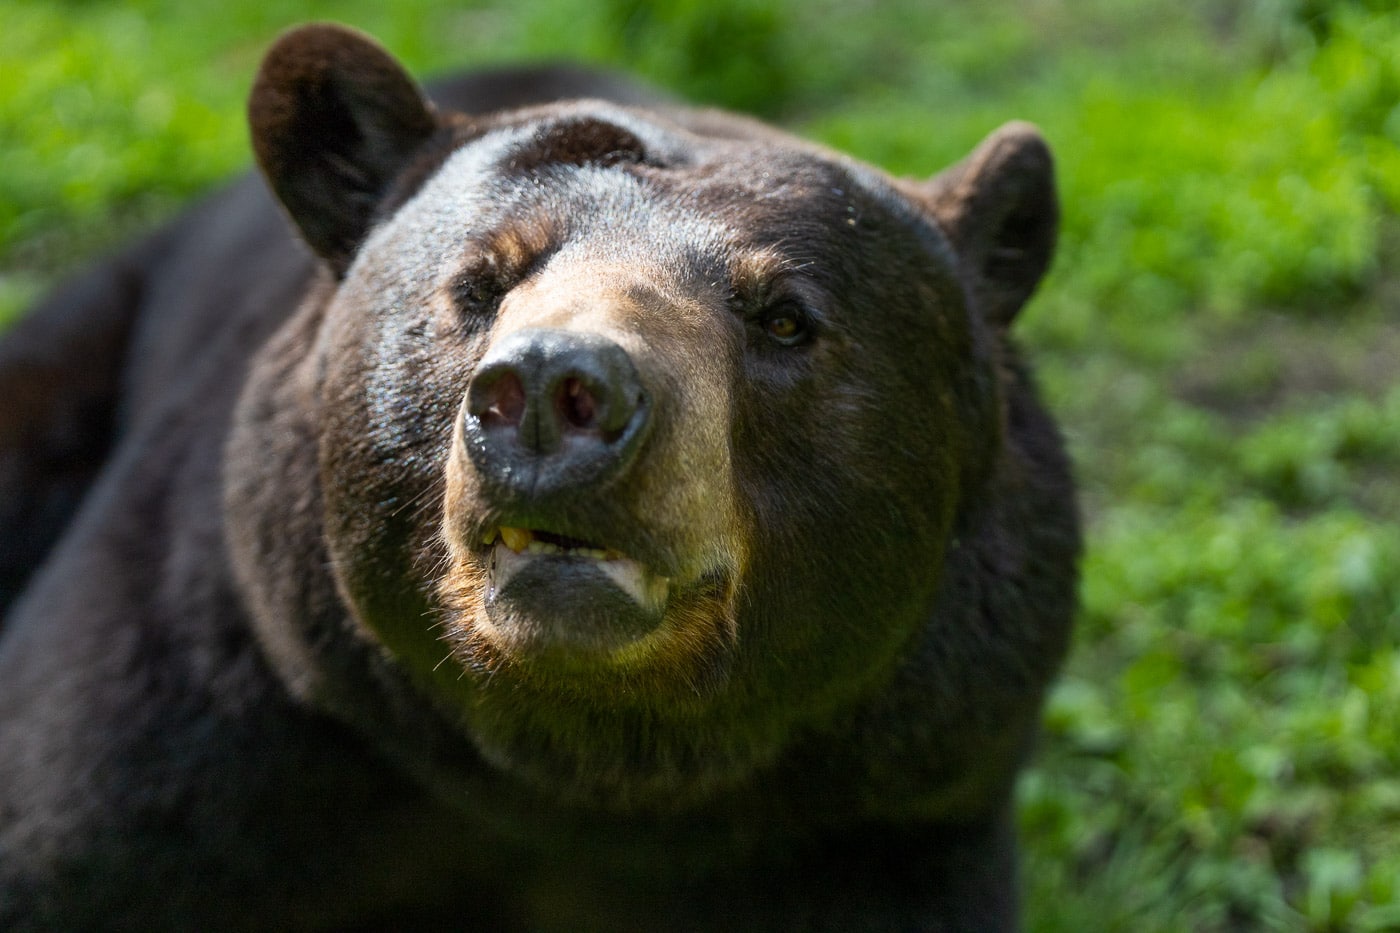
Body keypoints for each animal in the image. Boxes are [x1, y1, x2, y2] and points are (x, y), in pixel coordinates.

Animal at [0, 22, 1079, 932]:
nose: (554, 393)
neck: (564, 784)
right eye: (480, 282)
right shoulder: (214, 726)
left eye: (784, 316)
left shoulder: (890, 817)